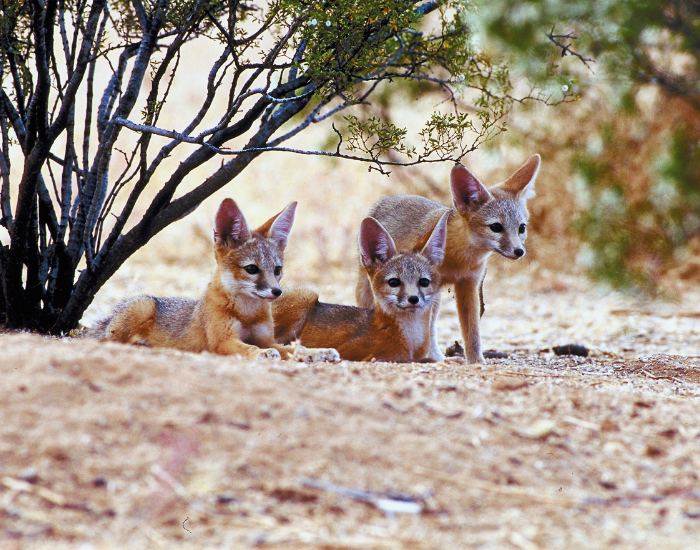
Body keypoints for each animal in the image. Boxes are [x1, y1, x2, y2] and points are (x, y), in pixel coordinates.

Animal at [90, 198, 339, 362]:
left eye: (277, 270)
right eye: (252, 269)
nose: (277, 292)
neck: (247, 314)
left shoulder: (267, 338)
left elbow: (294, 348)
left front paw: (317, 352)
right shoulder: (223, 341)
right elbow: (251, 349)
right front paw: (262, 354)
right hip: (142, 306)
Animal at [272, 212, 449, 362]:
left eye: (424, 282)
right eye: (394, 282)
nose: (413, 299)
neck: (410, 340)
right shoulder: (355, 352)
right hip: (308, 294)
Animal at [355, 154, 541, 364]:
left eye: (521, 228)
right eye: (496, 227)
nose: (519, 251)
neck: (460, 259)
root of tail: (387, 199)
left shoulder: (468, 284)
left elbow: (472, 331)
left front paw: (476, 361)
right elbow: (425, 327)